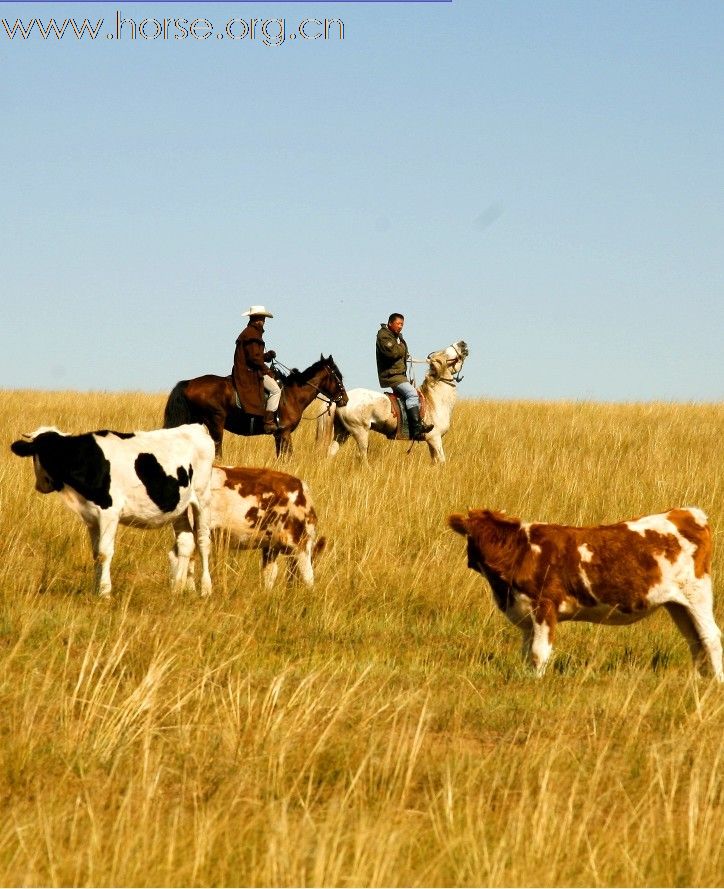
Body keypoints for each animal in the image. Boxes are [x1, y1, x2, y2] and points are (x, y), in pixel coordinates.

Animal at [11, 424, 215, 596]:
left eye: (39, 454)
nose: (41, 486)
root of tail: (196, 427)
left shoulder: (109, 513)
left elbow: (104, 551)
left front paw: (105, 591)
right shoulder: (91, 517)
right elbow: (96, 554)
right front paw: (96, 588)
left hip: (203, 500)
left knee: (203, 542)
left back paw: (206, 589)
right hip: (179, 507)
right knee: (186, 541)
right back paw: (178, 587)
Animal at [165, 354, 346, 458]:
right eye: (338, 376)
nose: (344, 400)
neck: (292, 394)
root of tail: (189, 383)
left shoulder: (279, 436)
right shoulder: (285, 433)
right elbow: (288, 457)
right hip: (215, 422)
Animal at [318, 340, 470, 464]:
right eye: (444, 353)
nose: (462, 343)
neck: (434, 401)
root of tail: (341, 399)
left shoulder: (431, 441)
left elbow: (435, 461)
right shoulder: (435, 438)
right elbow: (442, 461)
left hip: (342, 432)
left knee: (331, 451)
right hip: (360, 431)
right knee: (362, 456)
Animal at [450, 506, 720, 680]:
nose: (469, 561)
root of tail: (685, 512)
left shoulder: (544, 607)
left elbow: (539, 652)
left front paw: (535, 683)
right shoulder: (527, 615)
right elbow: (527, 652)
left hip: (697, 594)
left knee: (711, 637)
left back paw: (716, 682)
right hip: (678, 605)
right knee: (695, 640)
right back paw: (697, 681)